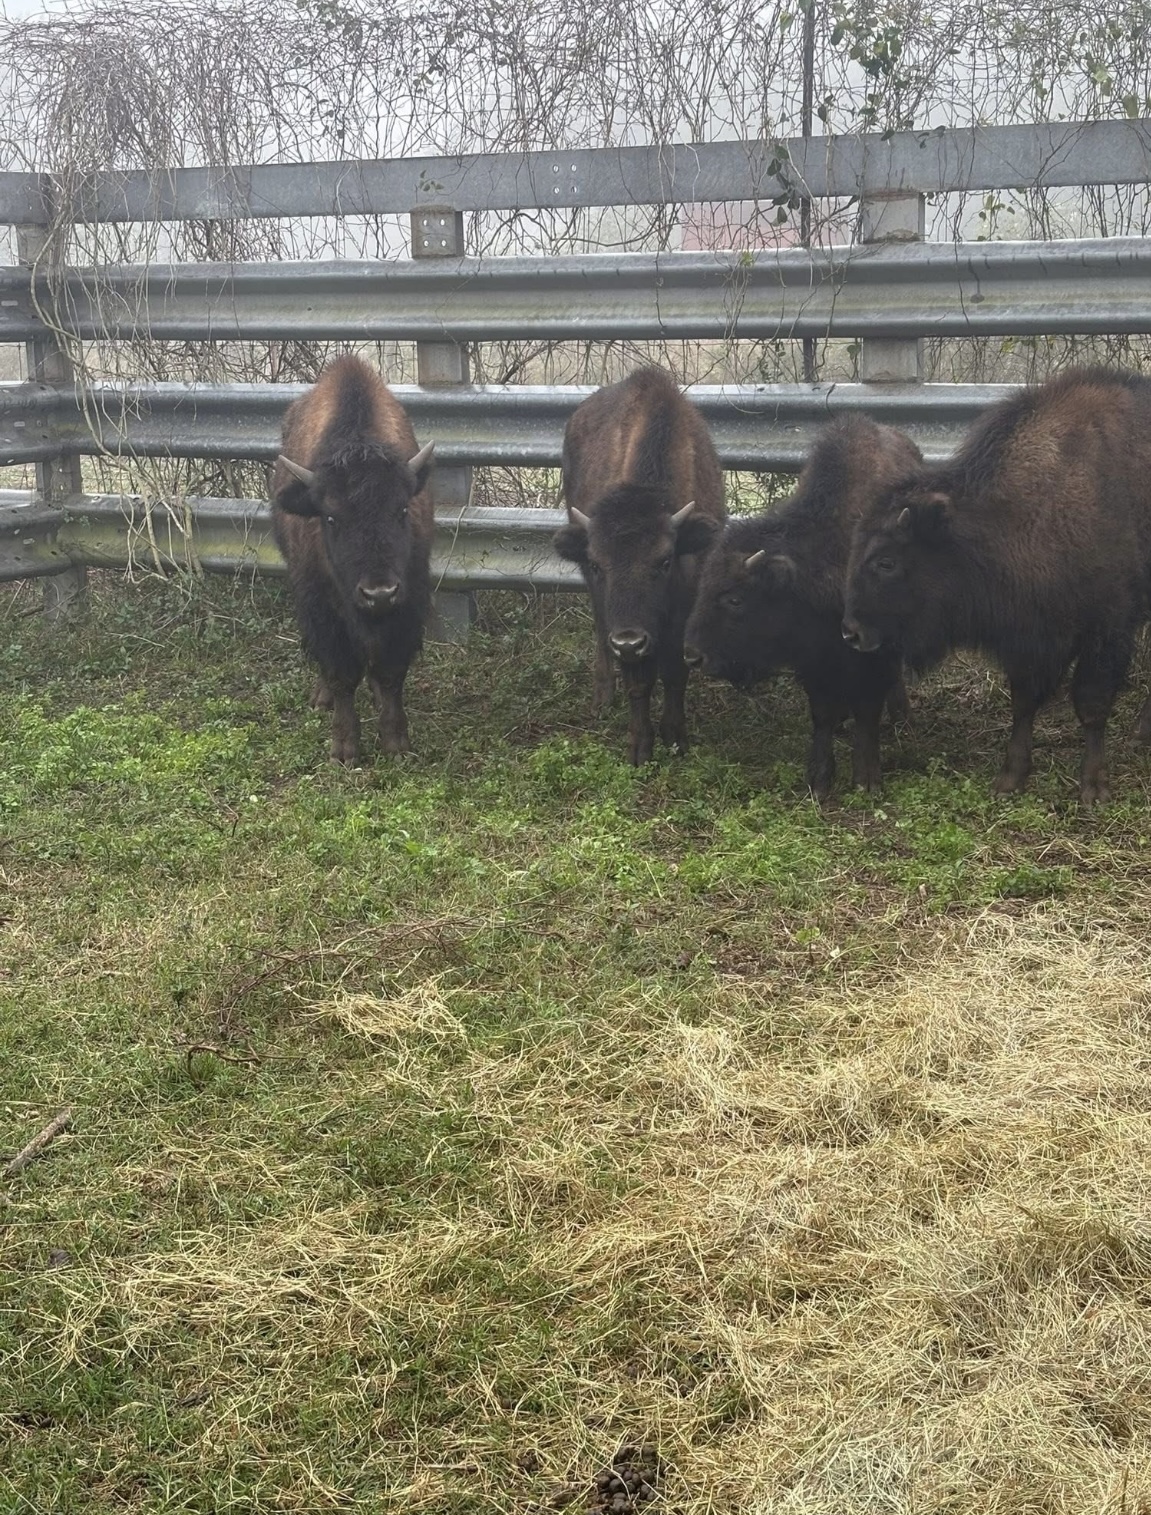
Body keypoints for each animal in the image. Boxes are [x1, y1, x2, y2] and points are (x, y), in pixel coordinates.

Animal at [272, 355, 435, 763]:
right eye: (331, 518)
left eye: (402, 509)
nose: (379, 593)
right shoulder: (321, 611)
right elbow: (341, 675)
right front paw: (344, 749)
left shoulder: (408, 604)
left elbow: (390, 673)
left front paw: (396, 743)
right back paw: (322, 698)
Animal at [554, 367, 725, 764]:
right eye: (597, 564)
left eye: (664, 561)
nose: (629, 642)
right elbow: (640, 683)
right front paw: (639, 747)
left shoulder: (684, 610)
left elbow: (675, 673)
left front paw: (676, 738)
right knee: (600, 629)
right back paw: (603, 695)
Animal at [684, 416, 919, 796]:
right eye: (703, 589)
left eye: (736, 599)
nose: (693, 656)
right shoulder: (813, 659)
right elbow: (821, 714)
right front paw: (819, 780)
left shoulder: (872, 656)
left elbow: (868, 710)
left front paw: (866, 780)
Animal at [843, 367, 1151, 804]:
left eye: (886, 561)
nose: (851, 632)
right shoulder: (1028, 636)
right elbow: (1023, 702)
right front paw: (1010, 779)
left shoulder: (1107, 627)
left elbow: (1091, 703)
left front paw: (1093, 787)